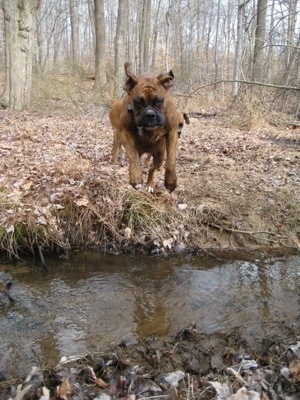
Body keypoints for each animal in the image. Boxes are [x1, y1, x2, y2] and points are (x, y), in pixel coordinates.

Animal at [108, 62, 178, 192]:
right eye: (138, 102)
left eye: (159, 101)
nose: (150, 114)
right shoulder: (124, 132)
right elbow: (132, 155)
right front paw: (136, 176)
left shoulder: (172, 131)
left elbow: (171, 159)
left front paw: (171, 180)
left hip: (159, 156)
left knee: (152, 168)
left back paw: (150, 184)